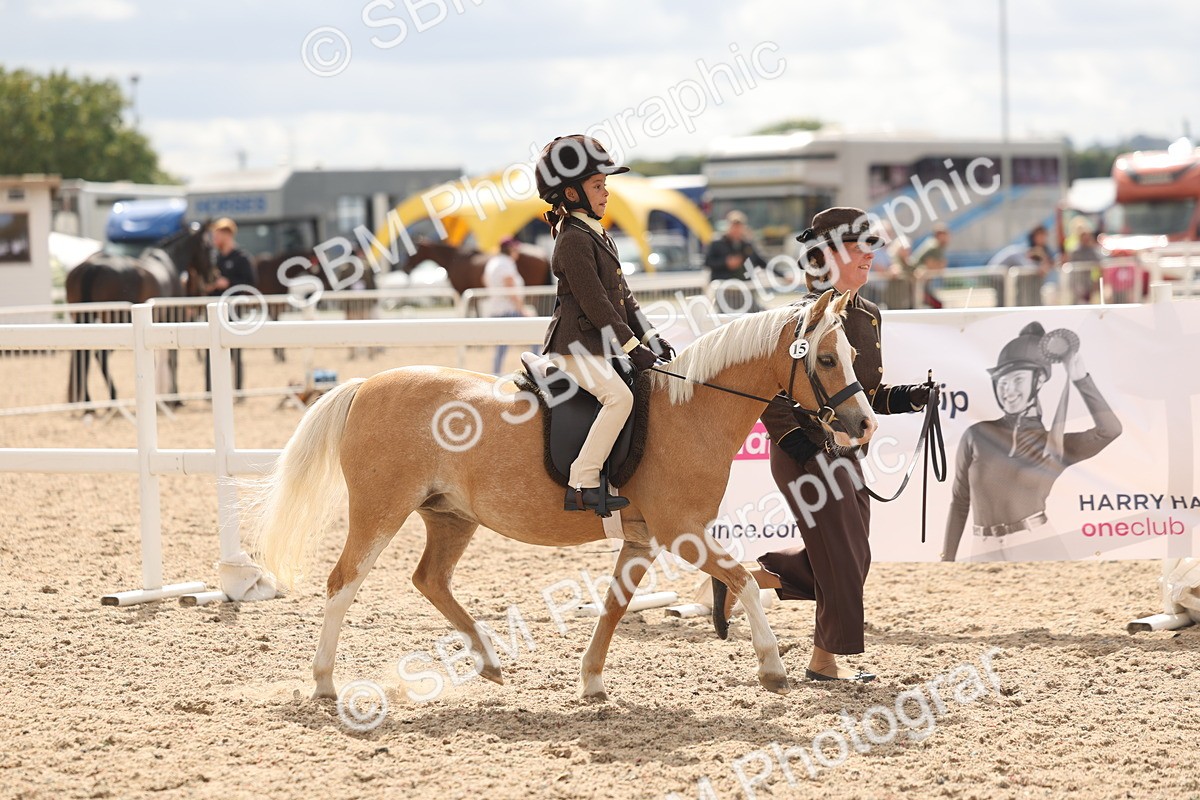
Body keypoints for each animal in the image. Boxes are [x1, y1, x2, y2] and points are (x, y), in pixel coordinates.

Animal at [65, 222, 215, 408]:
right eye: (209, 247)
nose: (213, 276)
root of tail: (92, 266)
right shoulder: (171, 317)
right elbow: (173, 359)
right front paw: (176, 397)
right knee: (100, 356)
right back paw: (112, 397)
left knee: (83, 354)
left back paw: (89, 403)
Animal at [244, 289, 875, 701]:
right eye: (825, 358)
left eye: (850, 355)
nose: (864, 425)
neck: (690, 410)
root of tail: (365, 386)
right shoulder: (683, 533)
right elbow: (742, 580)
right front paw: (772, 668)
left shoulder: (643, 540)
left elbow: (616, 604)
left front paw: (591, 679)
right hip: (381, 512)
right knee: (343, 582)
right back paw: (325, 682)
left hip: (451, 517)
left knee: (430, 580)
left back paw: (489, 661)